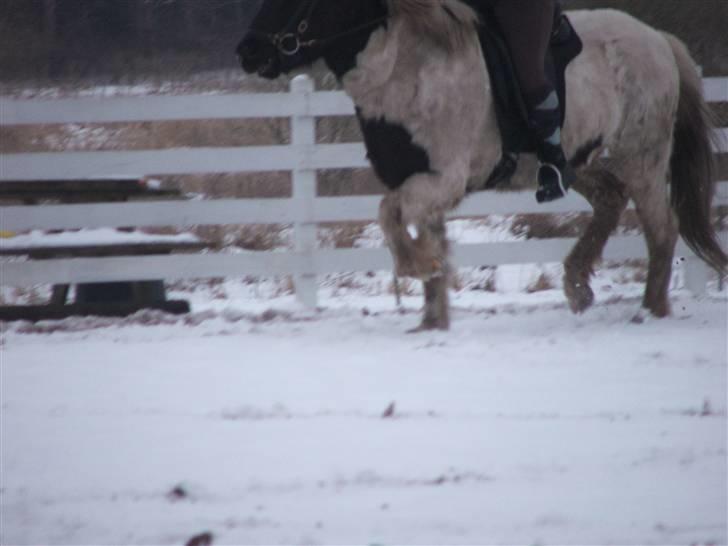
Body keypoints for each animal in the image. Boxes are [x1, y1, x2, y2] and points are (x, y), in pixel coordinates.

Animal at [236, 0, 724, 330]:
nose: (248, 51)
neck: (407, 69)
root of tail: (659, 39)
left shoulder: (442, 180)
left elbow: (388, 214)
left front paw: (419, 266)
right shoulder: (418, 182)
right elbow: (416, 229)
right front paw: (432, 318)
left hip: (642, 158)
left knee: (661, 228)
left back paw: (650, 309)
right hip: (580, 161)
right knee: (609, 199)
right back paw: (578, 285)